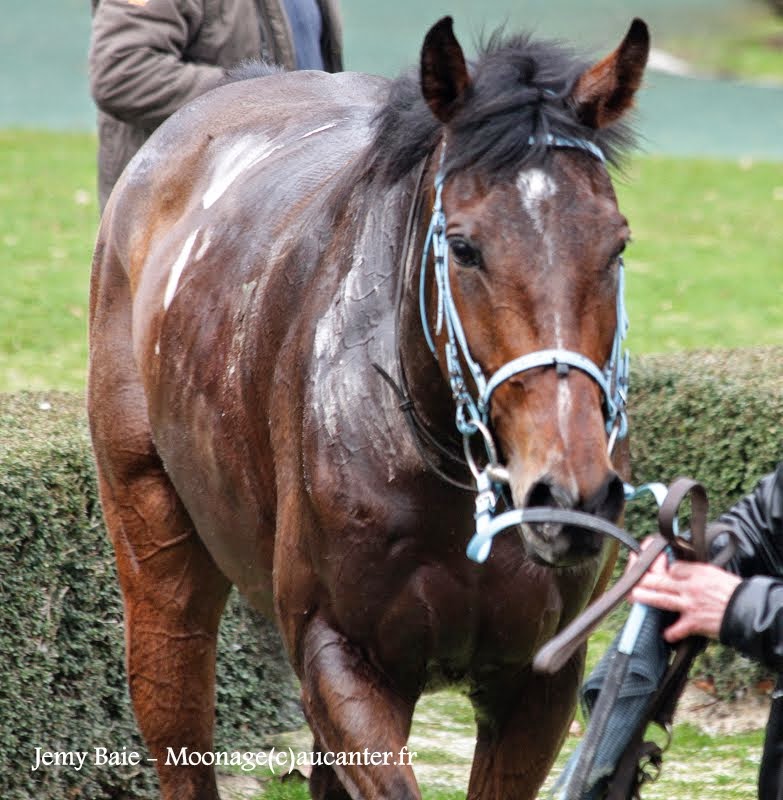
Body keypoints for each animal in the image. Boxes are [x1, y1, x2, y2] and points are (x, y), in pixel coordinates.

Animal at [87, 17, 648, 800]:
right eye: (464, 246)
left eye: (615, 244)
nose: (569, 495)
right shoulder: (341, 648)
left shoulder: (541, 674)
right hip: (149, 519)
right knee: (173, 689)